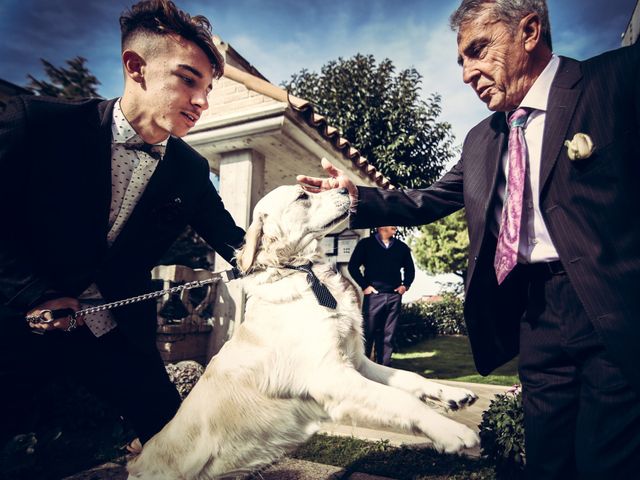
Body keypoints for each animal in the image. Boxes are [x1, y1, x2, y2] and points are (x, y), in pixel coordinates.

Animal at [129, 185, 480, 480]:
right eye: (303, 196)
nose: (345, 187)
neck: (305, 270)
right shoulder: (332, 375)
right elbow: (400, 399)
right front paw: (450, 431)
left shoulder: (358, 362)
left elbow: (410, 380)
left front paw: (451, 394)